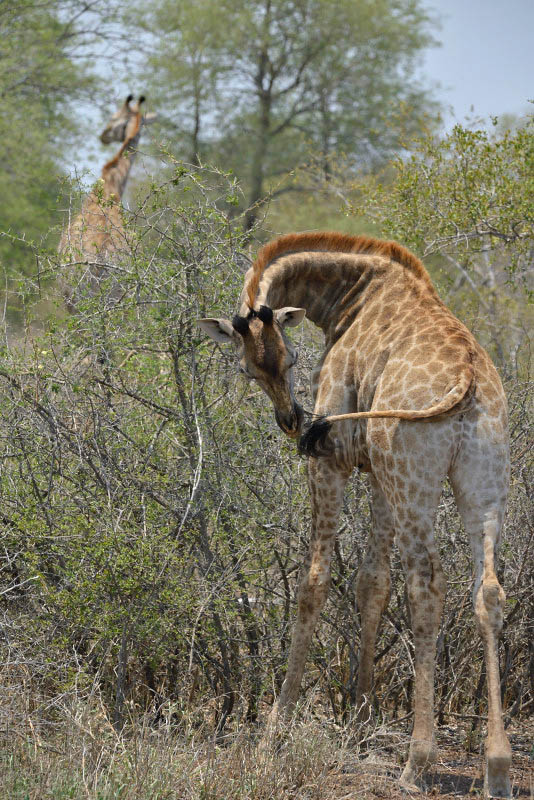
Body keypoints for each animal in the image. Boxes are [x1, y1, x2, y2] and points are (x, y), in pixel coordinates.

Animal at [200, 231, 516, 800]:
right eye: (250, 369)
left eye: (293, 359)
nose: (292, 420)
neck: (350, 295)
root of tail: (468, 382)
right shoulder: (376, 472)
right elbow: (372, 582)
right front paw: (361, 715)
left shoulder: (334, 460)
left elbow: (315, 582)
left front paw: (276, 726)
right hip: (480, 485)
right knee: (488, 592)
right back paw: (497, 766)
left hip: (414, 480)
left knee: (427, 585)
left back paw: (417, 760)